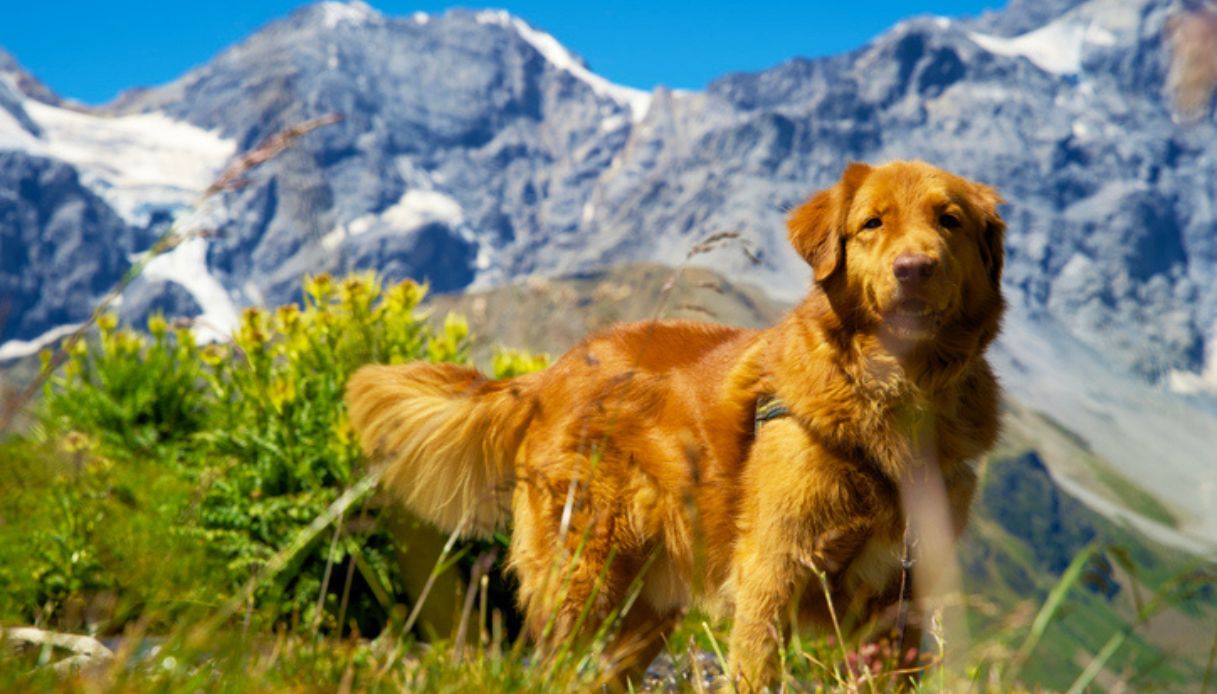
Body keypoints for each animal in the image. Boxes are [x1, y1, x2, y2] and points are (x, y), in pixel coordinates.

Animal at [345, 160, 1007, 686]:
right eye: (872, 223)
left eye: (949, 220)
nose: (914, 267)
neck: (896, 396)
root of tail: (548, 375)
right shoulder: (773, 572)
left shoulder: (902, 601)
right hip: (583, 579)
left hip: (642, 610)